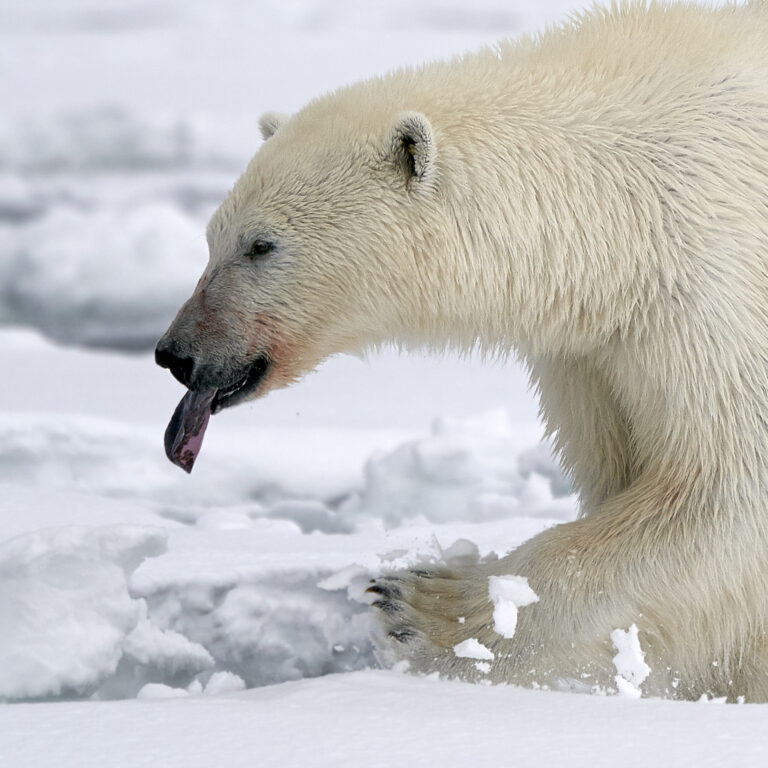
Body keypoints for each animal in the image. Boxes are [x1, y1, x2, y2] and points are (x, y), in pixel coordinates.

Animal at [156, 0, 768, 700]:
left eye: (261, 244)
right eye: (212, 237)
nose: (176, 352)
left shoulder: (714, 281)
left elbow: (725, 489)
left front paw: (428, 610)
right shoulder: (596, 347)